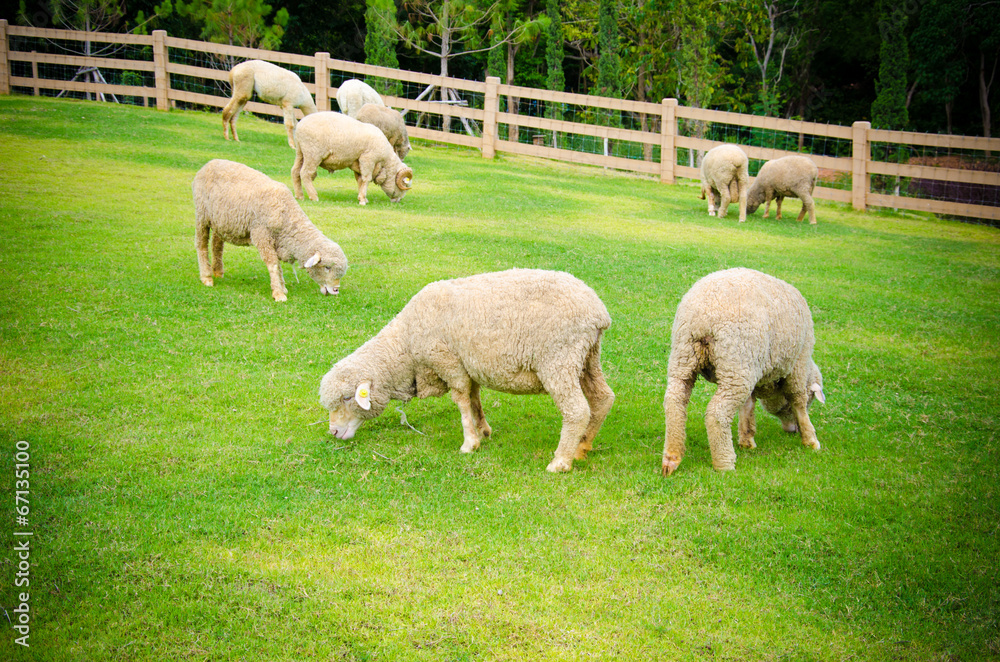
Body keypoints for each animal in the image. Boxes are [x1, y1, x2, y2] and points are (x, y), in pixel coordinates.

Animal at [193, 159, 348, 302]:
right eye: (327, 267)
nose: (335, 290)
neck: (287, 214)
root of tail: (209, 163)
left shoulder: (277, 241)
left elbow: (278, 265)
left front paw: (282, 287)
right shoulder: (262, 235)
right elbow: (272, 263)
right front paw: (278, 293)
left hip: (220, 221)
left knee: (217, 245)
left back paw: (218, 271)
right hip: (202, 215)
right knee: (201, 244)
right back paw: (206, 277)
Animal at [318, 269, 615, 473]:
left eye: (347, 398)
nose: (333, 433)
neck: (406, 345)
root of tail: (598, 312)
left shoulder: (447, 361)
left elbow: (461, 400)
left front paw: (469, 443)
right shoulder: (466, 364)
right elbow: (474, 399)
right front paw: (483, 430)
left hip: (558, 358)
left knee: (577, 410)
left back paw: (561, 461)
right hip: (587, 358)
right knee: (603, 398)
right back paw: (582, 448)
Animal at [661, 268, 825, 475]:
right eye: (812, 401)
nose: (792, 430)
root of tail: (702, 317)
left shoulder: (752, 370)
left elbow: (748, 406)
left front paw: (747, 441)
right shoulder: (798, 364)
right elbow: (798, 401)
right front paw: (811, 440)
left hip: (685, 358)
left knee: (674, 402)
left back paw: (671, 458)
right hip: (735, 363)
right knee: (717, 413)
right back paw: (724, 464)